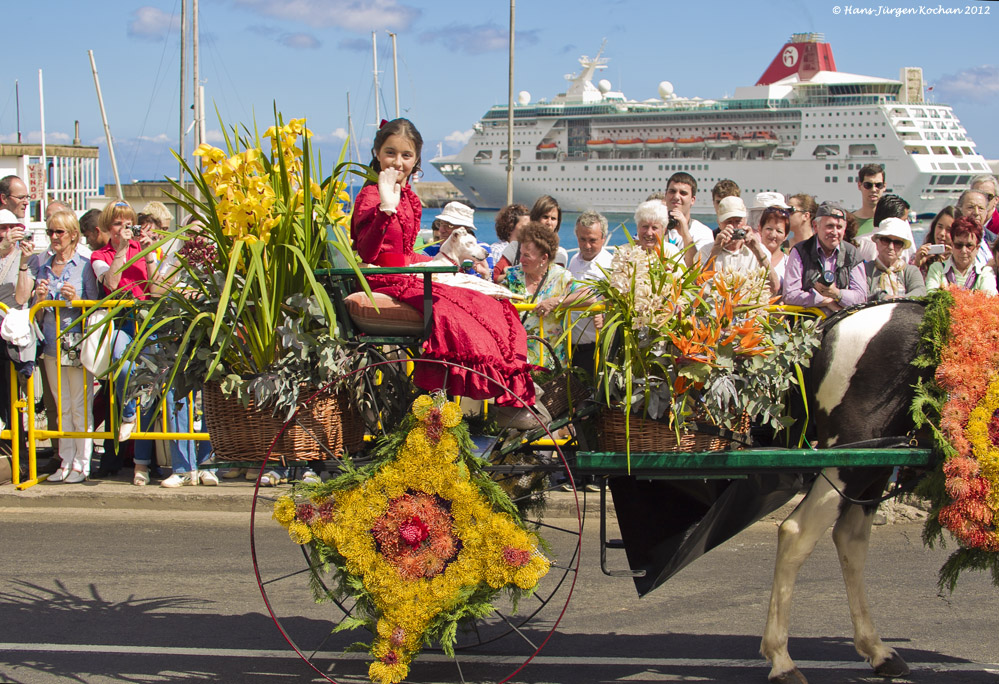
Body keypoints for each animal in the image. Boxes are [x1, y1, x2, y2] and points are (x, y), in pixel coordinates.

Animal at [760, 302, 932, 684]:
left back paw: (878, 650)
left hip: (876, 461)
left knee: (850, 539)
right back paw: (782, 660)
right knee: (797, 532)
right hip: (850, 456)